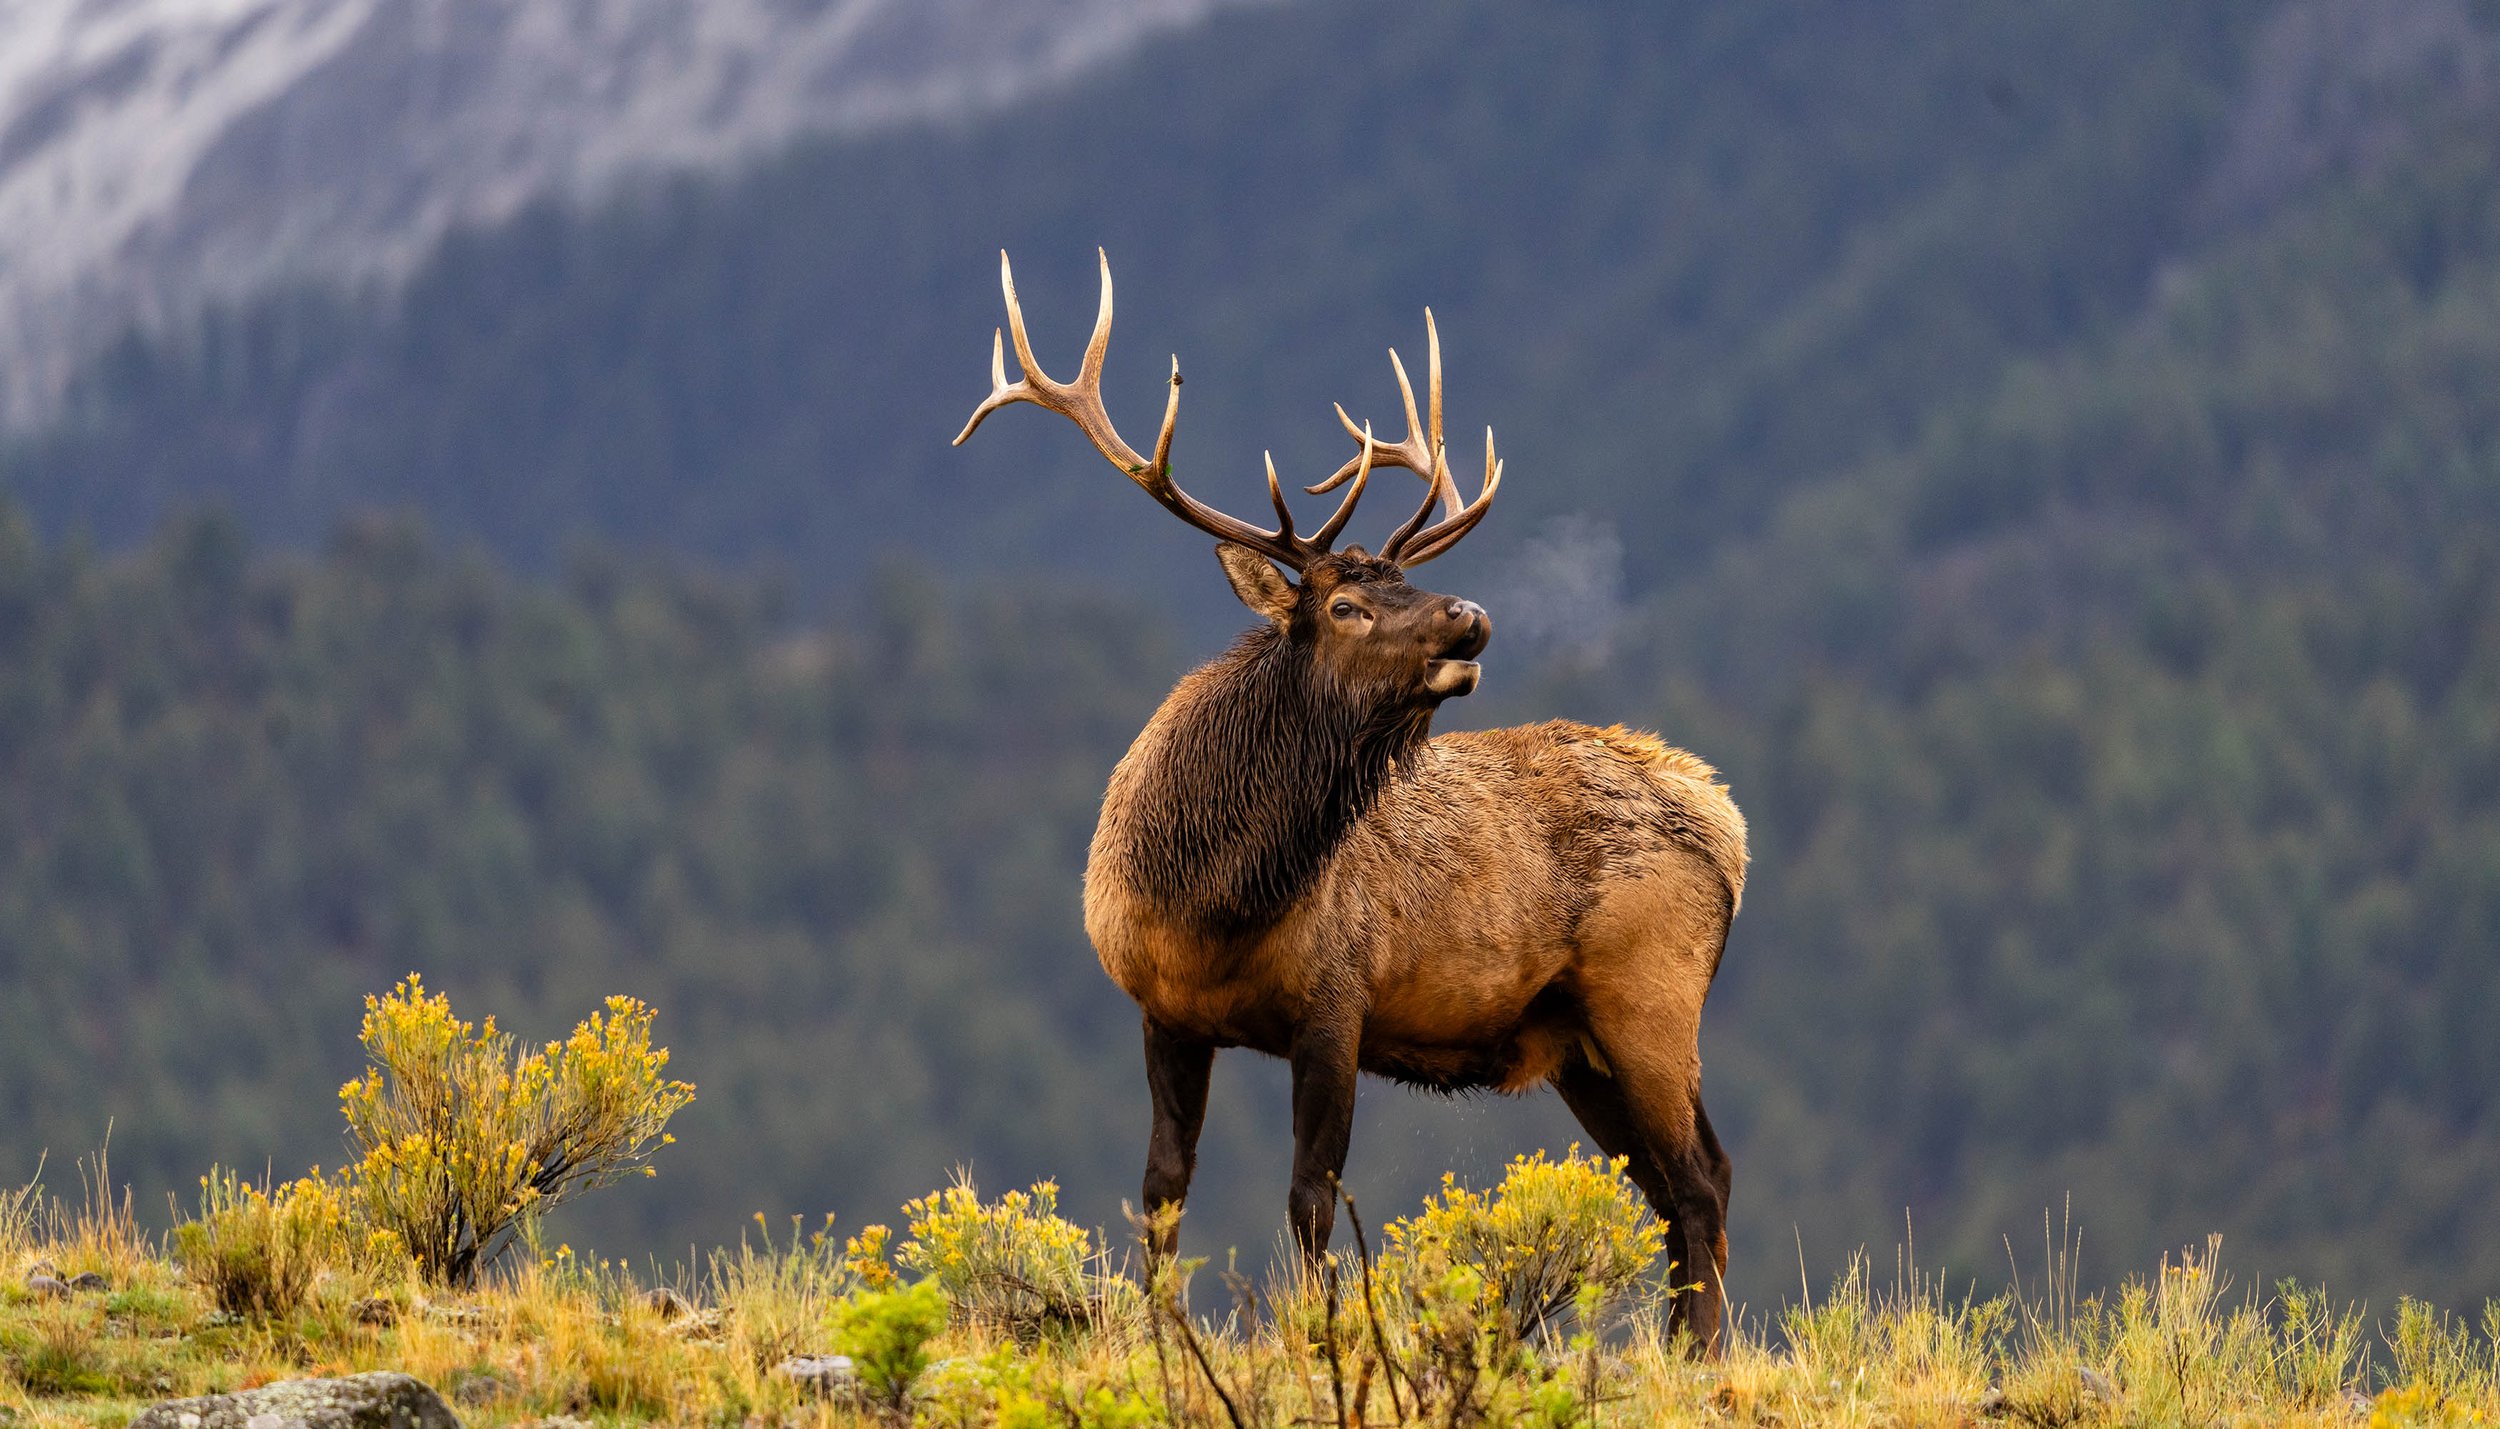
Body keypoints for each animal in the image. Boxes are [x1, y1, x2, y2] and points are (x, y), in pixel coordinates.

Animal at [955, 248, 1760, 1349]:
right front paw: (1166, 1335)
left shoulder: (1337, 1002)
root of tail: (1728, 824)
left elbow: (1309, 1197)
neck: (1213, 901)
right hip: (1579, 1043)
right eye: (1343, 601)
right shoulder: (1162, 1010)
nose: (1470, 613)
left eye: (1401, 584)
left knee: (1701, 1179)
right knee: (1673, 1187)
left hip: (1650, 996)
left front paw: (1322, 1337)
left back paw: (1696, 1354)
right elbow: (1162, 1187)